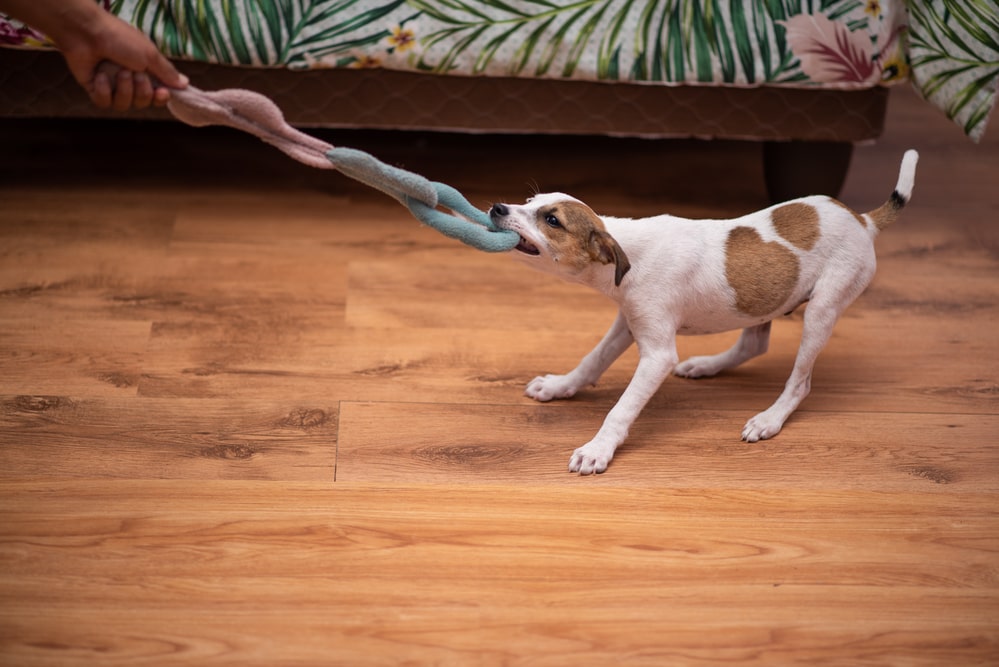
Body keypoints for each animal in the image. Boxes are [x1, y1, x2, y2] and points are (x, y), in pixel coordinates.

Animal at [488, 151, 916, 474]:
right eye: (529, 202)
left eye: (552, 220)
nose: (496, 207)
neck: (628, 252)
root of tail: (862, 219)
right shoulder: (628, 322)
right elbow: (592, 360)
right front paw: (560, 386)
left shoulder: (657, 354)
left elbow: (621, 409)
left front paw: (598, 448)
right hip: (764, 301)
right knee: (754, 345)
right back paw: (705, 365)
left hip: (823, 309)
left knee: (800, 382)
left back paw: (769, 419)